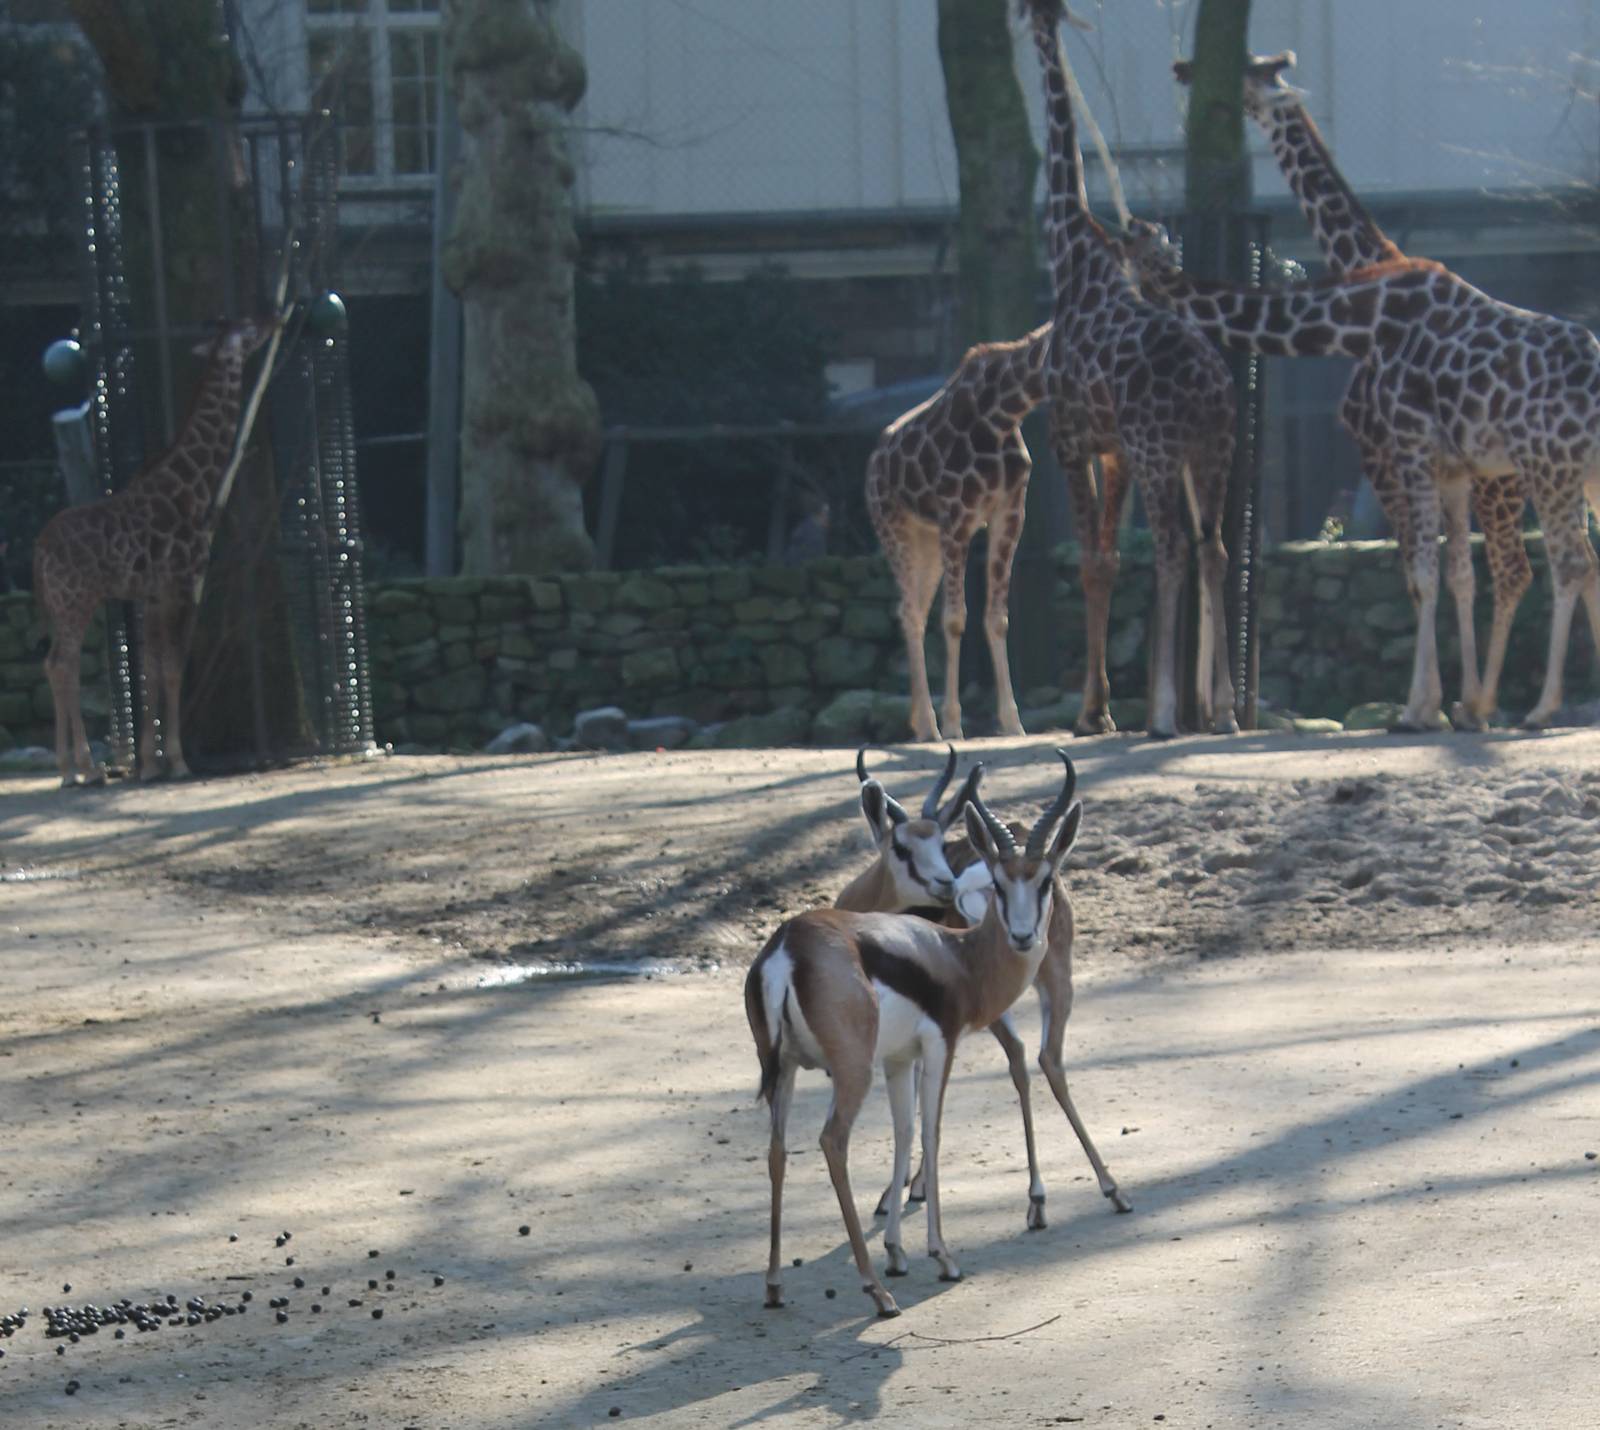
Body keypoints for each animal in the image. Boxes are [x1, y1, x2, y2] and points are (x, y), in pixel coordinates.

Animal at [33, 316, 274, 787]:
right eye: (249, 328)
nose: (274, 321)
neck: (192, 487)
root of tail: (38, 553)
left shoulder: (150, 594)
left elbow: (149, 670)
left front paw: (149, 762)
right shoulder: (177, 585)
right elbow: (172, 667)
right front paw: (176, 761)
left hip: (59, 605)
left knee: (55, 664)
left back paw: (73, 767)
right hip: (76, 600)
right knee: (63, 665)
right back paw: (81, 768)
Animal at [868, 324, 1049, 742]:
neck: (1004, 413)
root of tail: (875, 460)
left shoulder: (1009, 513)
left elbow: (997, 618)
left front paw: (1012, 723)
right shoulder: (957, 516)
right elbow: (953, 620)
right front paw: (953, 723)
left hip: (928, 542)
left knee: (912, 609)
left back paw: (919, 721)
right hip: (895, 528)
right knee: (912, 613)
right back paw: (930, 725)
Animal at [1024, 0, 1239, 738]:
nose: (1023, 18)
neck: (1068, 255)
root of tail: (1213, 389)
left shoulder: (1070, 439)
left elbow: (1094, 561)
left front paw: (1094, 712)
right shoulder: (1112, 448)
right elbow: (1111, 561)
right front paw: (1100, 706)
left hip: (1160, 450)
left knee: (1175, 545)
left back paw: (1170, 713)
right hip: (1211, 452)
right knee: (1213, 548)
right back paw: (1223, 711)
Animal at [1121, 246, 1600, 730]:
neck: (1362, 324)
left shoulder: (1412, 447)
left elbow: (1424, 576)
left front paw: (1418, 708)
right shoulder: (1452, 469)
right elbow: (1459, 576)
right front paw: (1463, 704)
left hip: (1546, 463)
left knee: (1570, 563)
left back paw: (1542, 708)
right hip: (1579, 474)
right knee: (1583, 561)